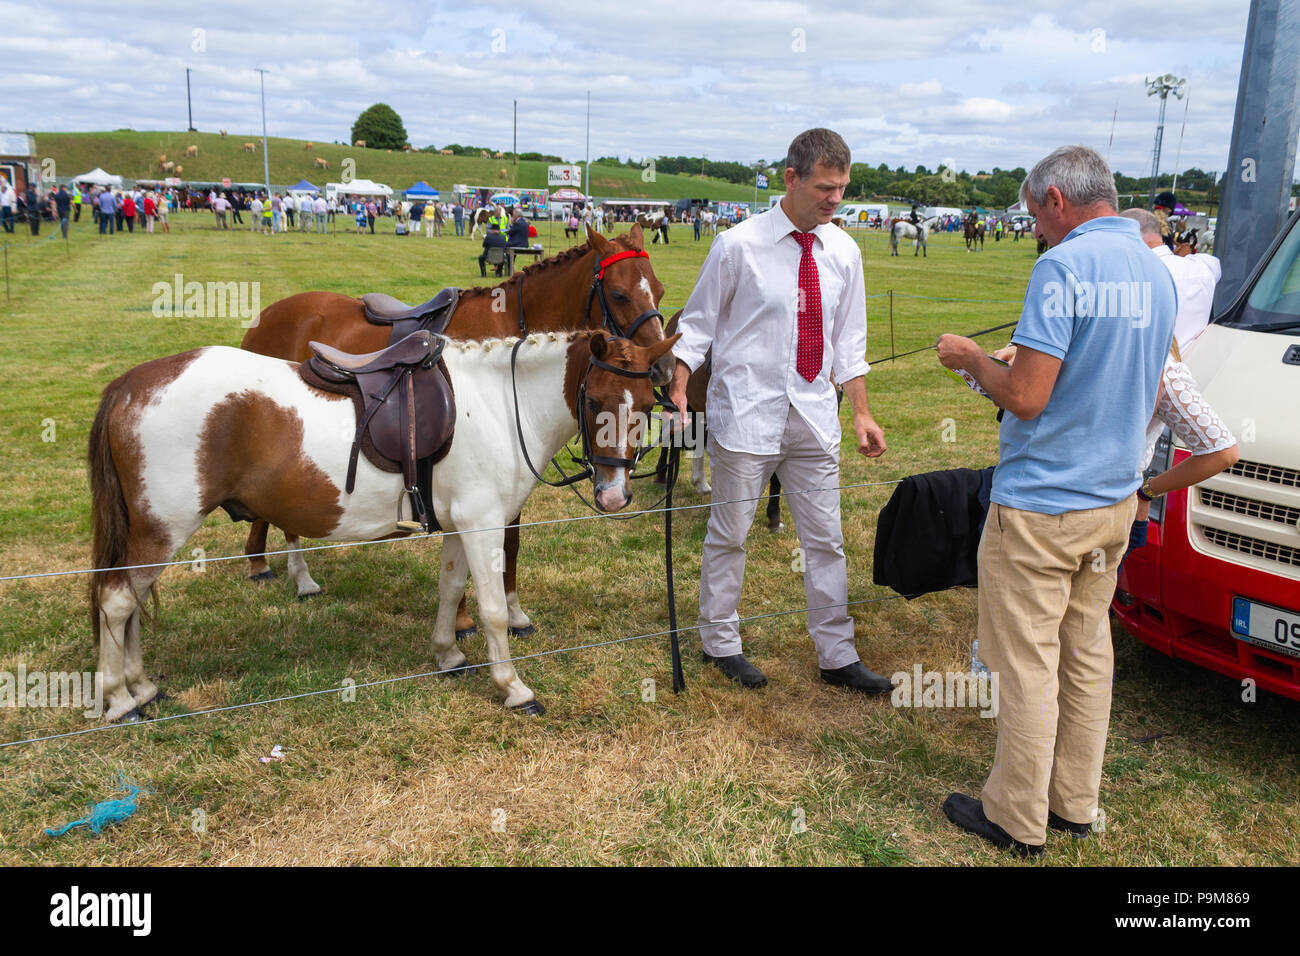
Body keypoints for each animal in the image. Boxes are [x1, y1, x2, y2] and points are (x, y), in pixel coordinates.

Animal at [89, 327, 681, 717]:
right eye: (596, 400)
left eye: (647, 403)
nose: (614, 494)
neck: (499, 404)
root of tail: (129, 385)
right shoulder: (484, 523)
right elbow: (491, 611)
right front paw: (512, 687)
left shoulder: (459, 523)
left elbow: (450, 590)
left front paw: (447, 654)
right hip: (163, 530)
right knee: (117, 601)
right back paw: (120, 698)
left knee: (129, 603)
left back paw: (142, 687)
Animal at [239, 225, 665, 639]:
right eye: (619, 293)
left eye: (659, 290)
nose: (660, 367)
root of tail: (268, 313)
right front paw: (460, 622)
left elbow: (510, 543)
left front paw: (514, 613)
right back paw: (278, 568)